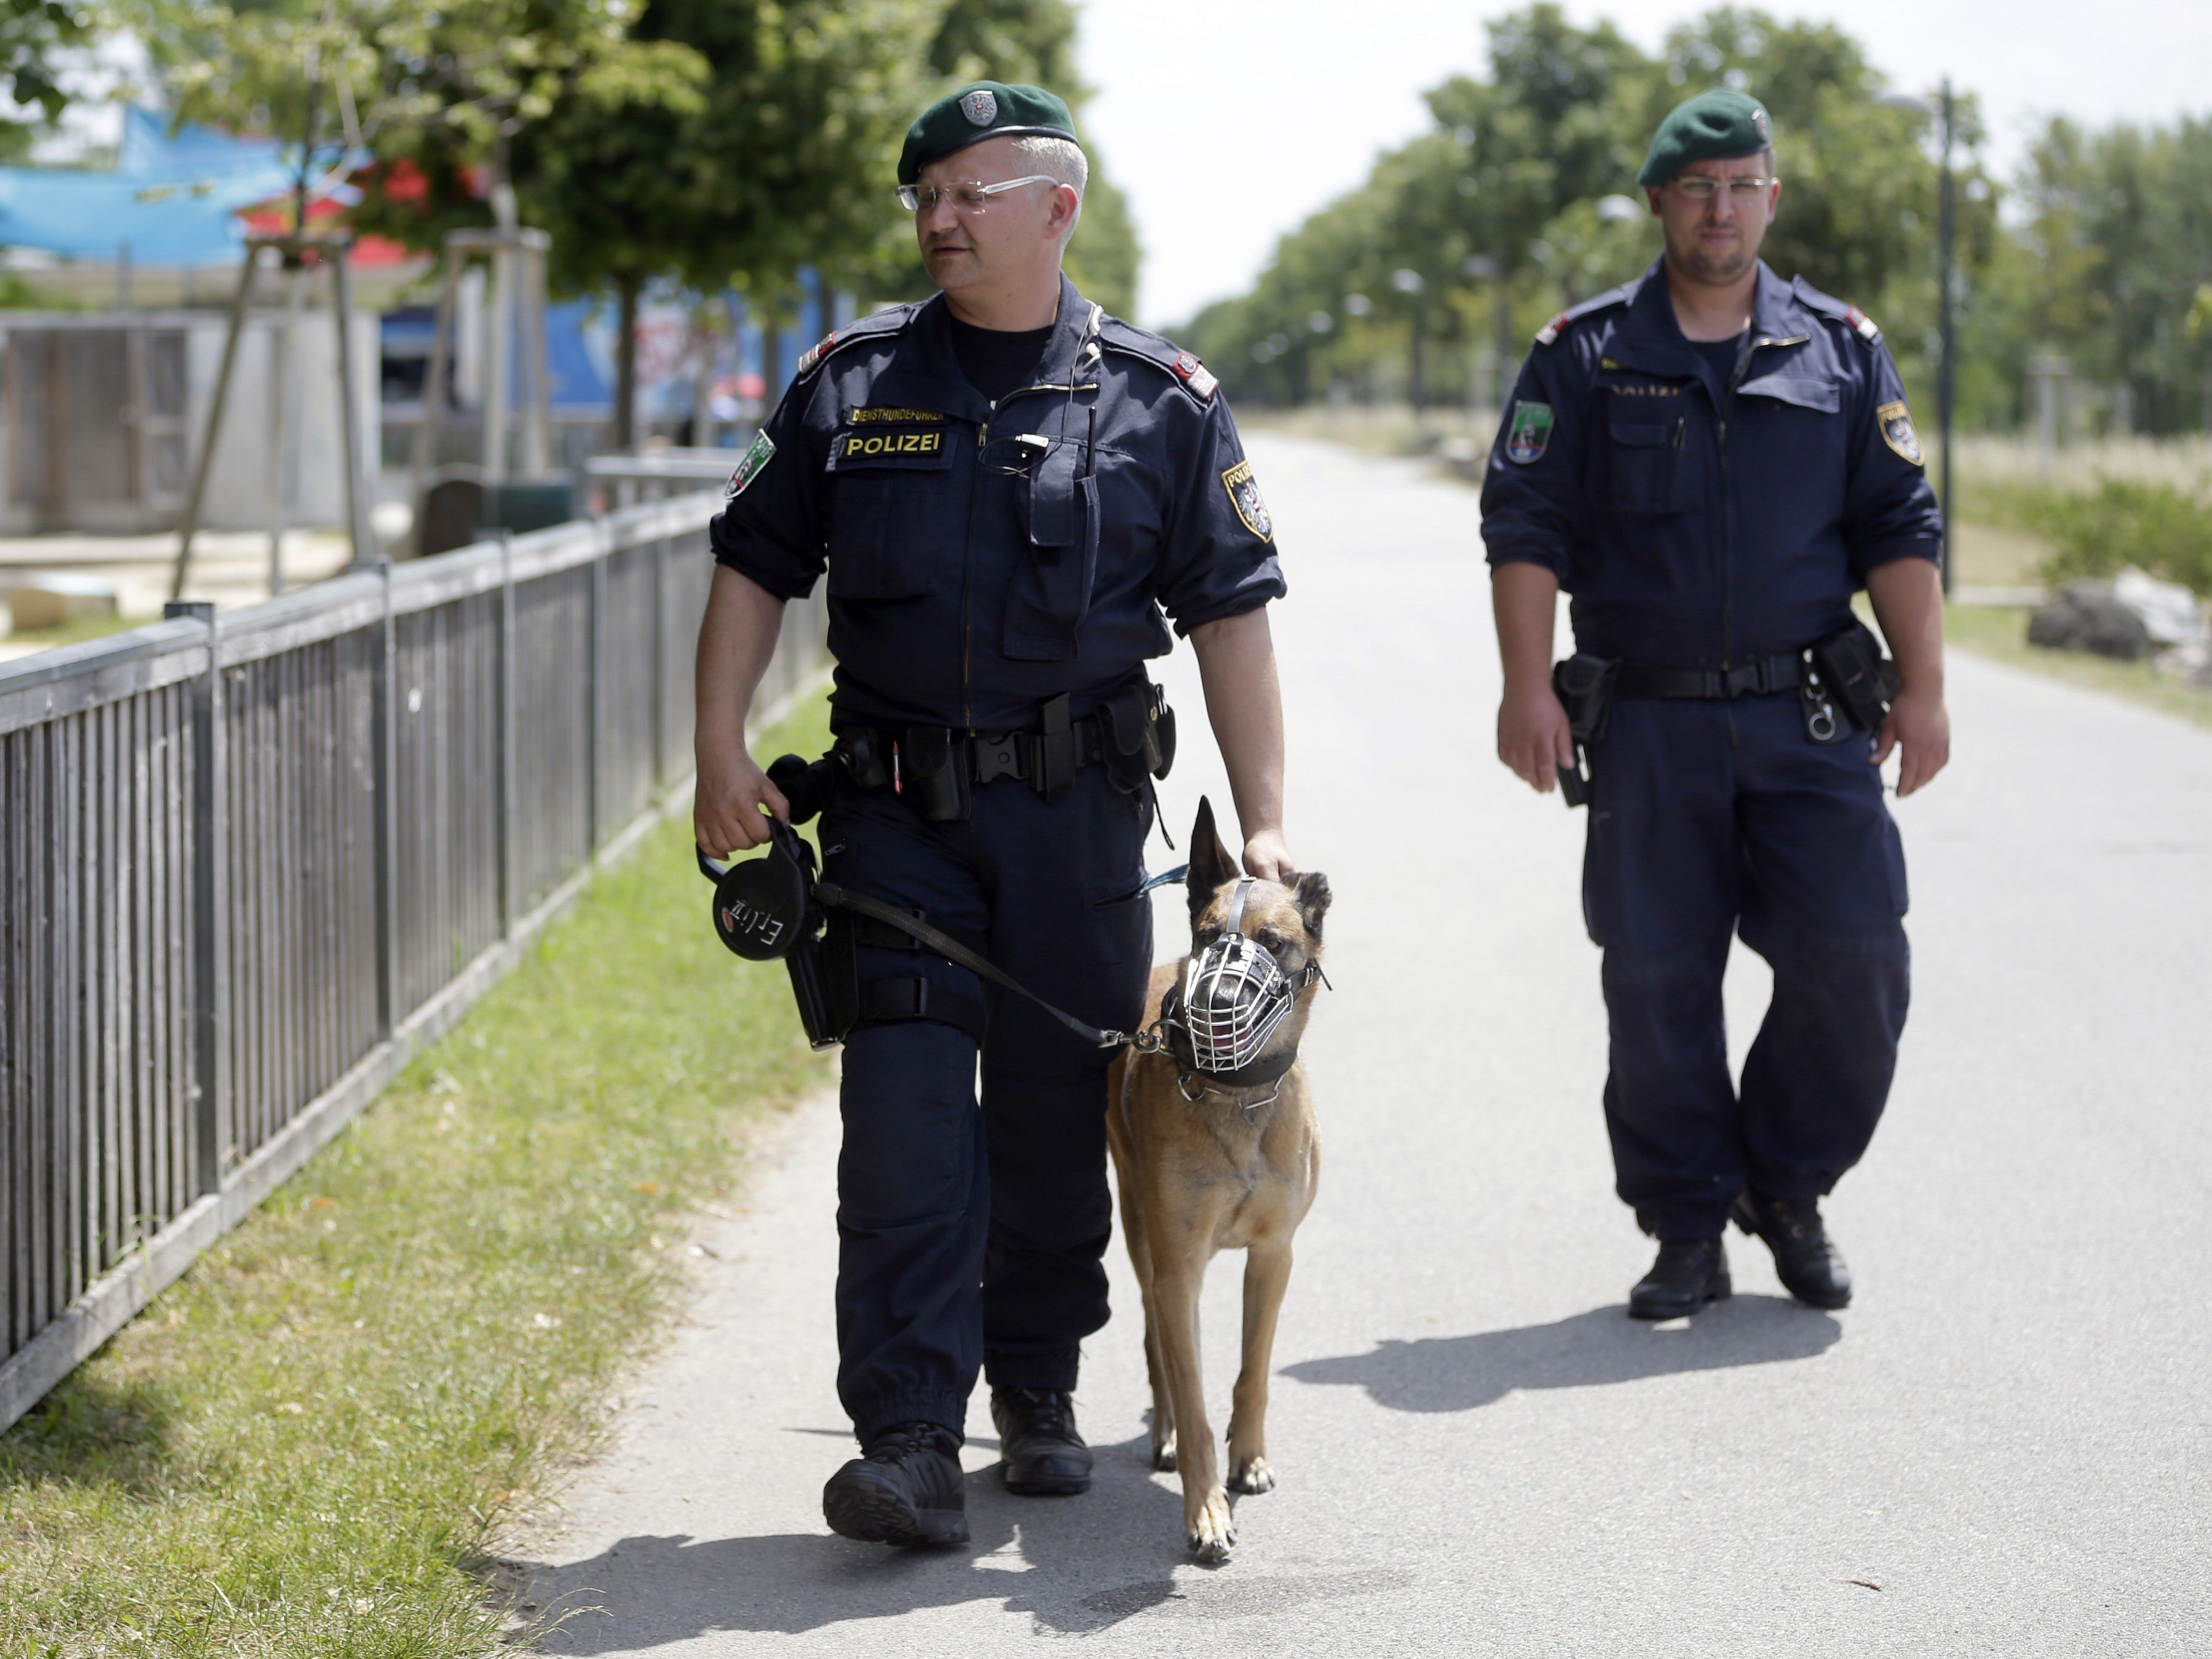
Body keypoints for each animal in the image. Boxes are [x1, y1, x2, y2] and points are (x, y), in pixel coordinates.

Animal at [1106, 800, 1327, 1566]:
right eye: (1207, 935)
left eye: (1272, 942)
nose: (1221, 996)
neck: (1236, 1095)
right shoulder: (1180, 1270)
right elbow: (1195, 1393)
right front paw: (1205, 1511)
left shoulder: (1274, 1255)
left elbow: (1251, 1374)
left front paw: (1249, 1458)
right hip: (1139, 1234)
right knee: (1155, 1345)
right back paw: (1166, 1433)